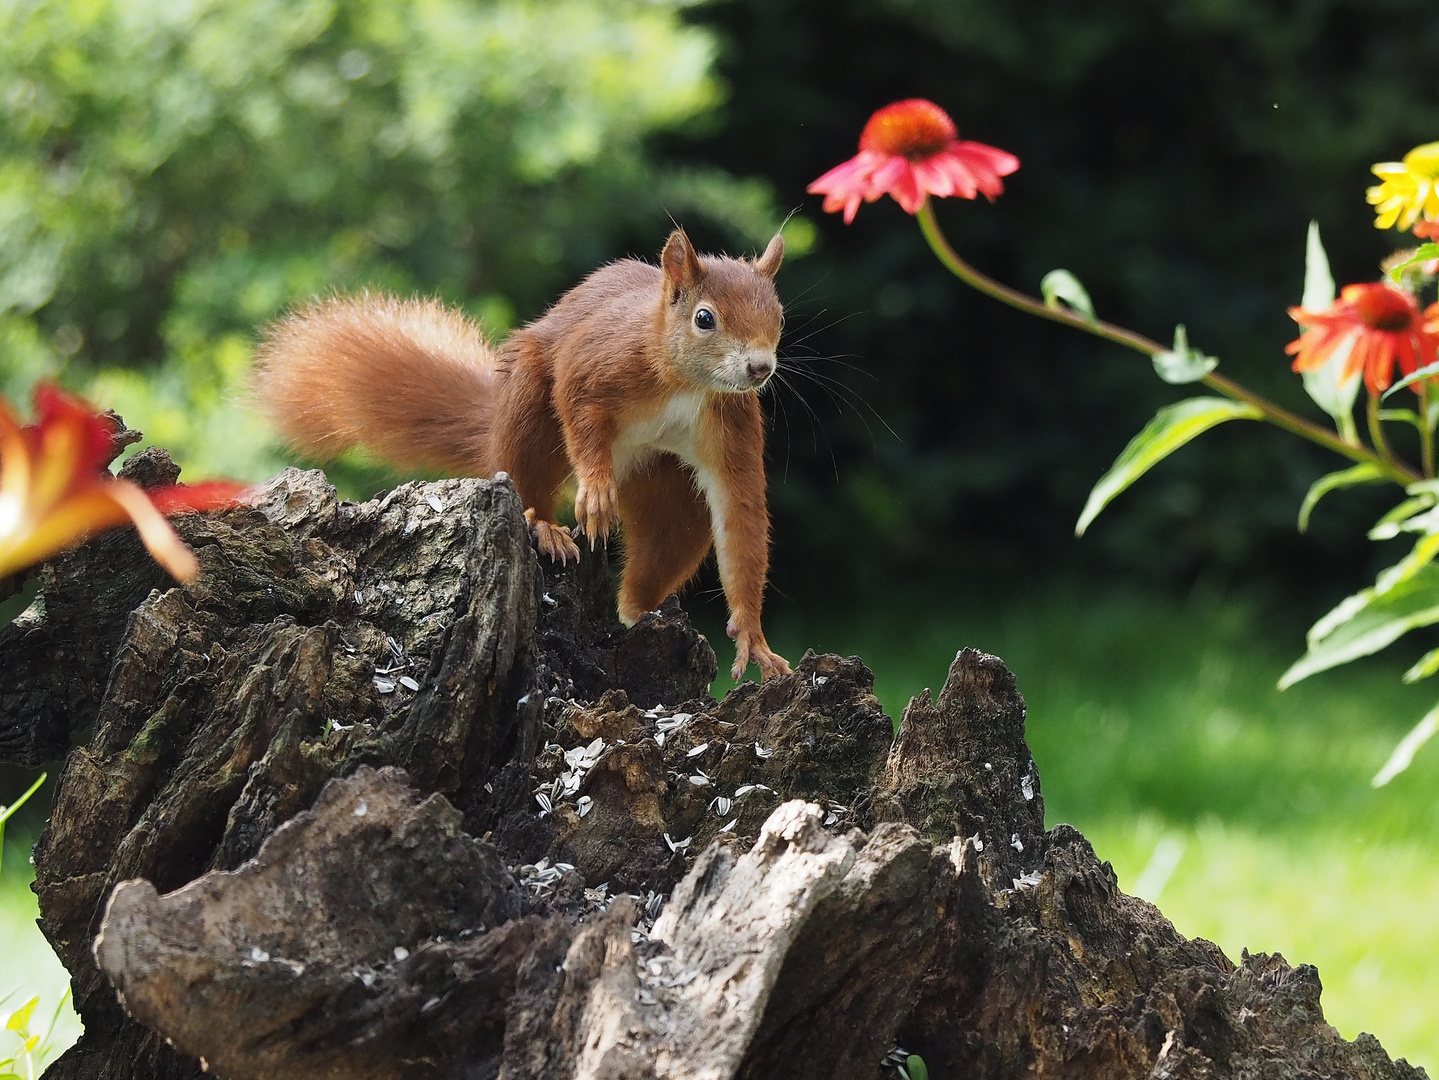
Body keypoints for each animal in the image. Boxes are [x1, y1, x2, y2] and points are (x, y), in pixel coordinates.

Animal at [253, 231, 794, 678]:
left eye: (779, 314)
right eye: (705, 318)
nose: (760, 367)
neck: (684, 383)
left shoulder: (732, 422)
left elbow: (740, 508)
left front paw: (752, 636)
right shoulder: (597, 361)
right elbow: (576, 402)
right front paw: (596, 491)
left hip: (668, 487)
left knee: (668, 540)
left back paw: (642, 611)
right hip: (527, 407)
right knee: (527, 473)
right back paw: (545, 526)